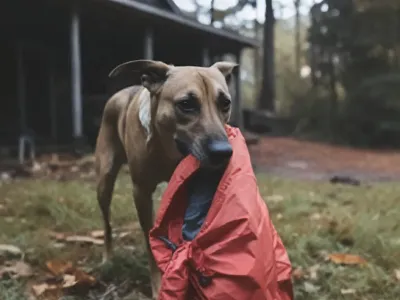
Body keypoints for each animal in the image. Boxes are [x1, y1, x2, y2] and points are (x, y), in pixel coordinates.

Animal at [94, 59, 238, 298]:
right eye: (186, 104)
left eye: (225, 103)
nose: (224, 153)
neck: (168, 150)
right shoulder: (141, 192)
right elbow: (150, 239)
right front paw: (159, 284)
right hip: (104, 179)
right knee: (106, 222)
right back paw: (107, 258)